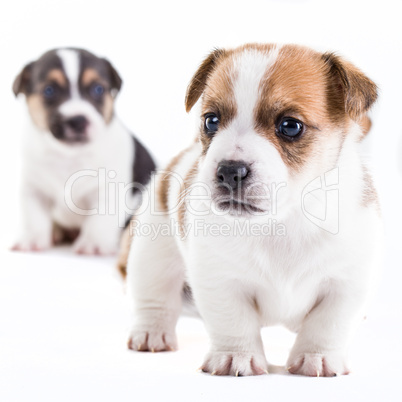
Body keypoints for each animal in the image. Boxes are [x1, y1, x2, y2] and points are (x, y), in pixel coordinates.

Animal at [11, 48, 155, 254]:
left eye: (98, 89)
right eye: (49, 90)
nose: (77, 120)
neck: (69, 156)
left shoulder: (108, 191)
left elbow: (99, 221)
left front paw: (93, 244)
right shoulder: (34, 190)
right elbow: (34, 218)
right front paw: (32, 239)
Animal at [121, 44, 380, 376]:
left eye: (290, 126)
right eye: (211, 121)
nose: (229, 171)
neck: (281, 221)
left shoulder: (346, 283)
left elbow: (327, 325)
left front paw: (316, 356)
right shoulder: (220, 280)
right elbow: (234, 322)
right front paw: (237, 356)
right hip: (152, 253)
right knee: (154, 295)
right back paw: (151, 332)